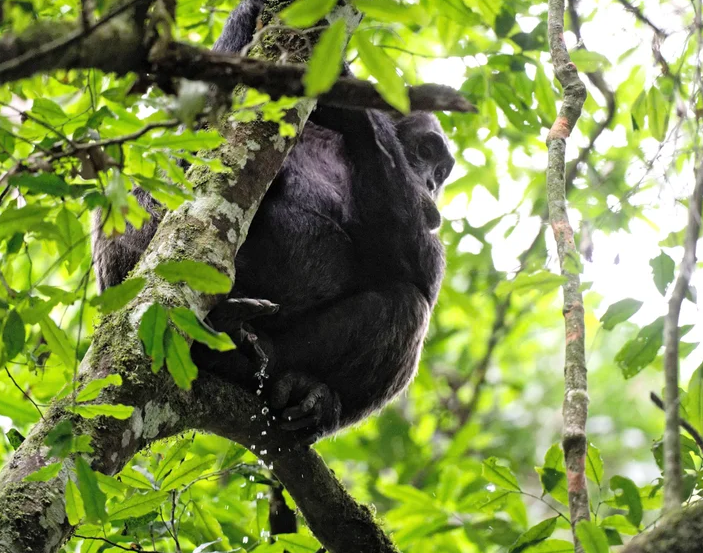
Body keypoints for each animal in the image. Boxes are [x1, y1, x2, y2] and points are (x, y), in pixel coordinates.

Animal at [92, 0, 454, 443]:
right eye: (425, 151)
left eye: (442, 171)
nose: (431, 181)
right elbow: (184, 148)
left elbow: (423, 269)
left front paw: (355, 109)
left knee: (406, 306)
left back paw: (307, 393)